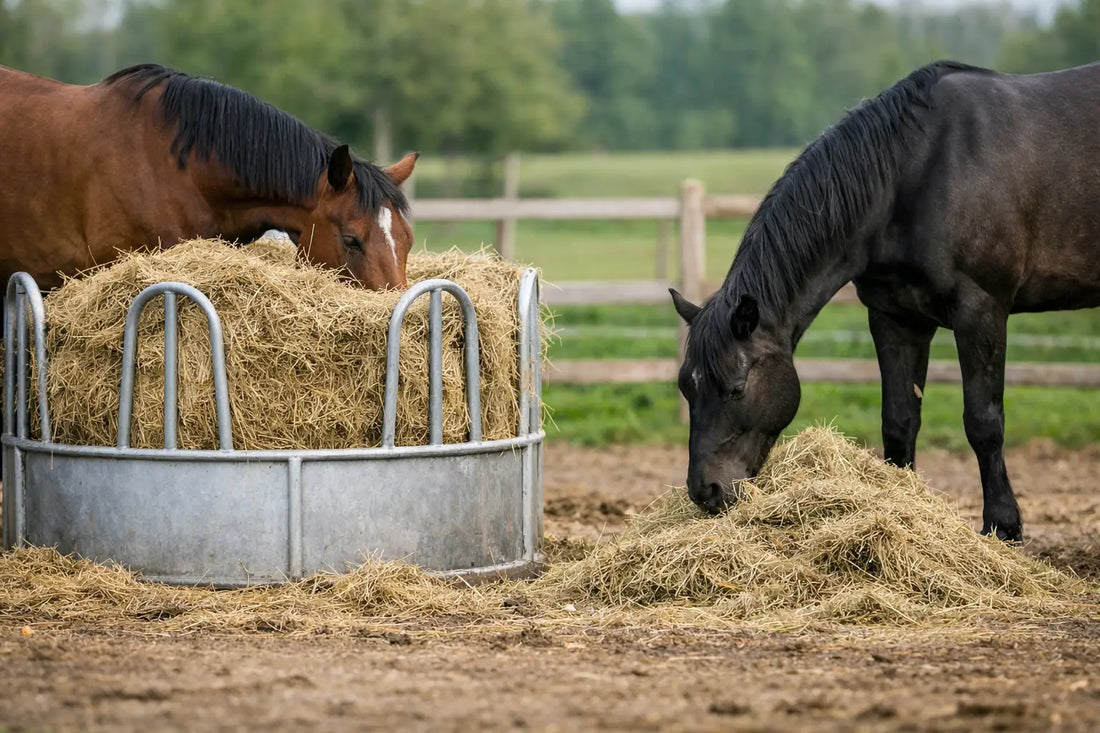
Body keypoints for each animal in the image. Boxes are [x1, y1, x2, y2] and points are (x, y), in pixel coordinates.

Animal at [670, 60, 1100, 542]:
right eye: (686, 387)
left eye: (736, 388)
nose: (705, 491)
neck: (915, 173)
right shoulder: (895, 318)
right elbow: (899, 421)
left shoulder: (981, 312)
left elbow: (984, 423)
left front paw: (1002, 526)